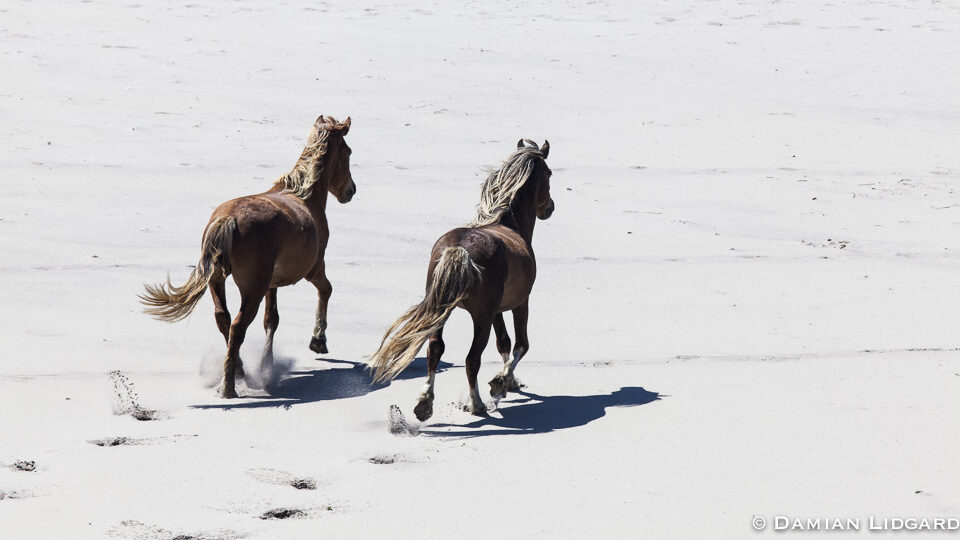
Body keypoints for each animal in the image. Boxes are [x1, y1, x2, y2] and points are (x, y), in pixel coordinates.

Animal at [141, 116, 354, 398]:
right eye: (348, 152)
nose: (351, 190)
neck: (303, 196)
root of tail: (227, 219)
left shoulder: (272, 284)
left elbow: (271, 320)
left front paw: (266, 365)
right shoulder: (314, 269)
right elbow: (326, 290)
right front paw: (318, 341)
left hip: (218, 280)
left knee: (223, 318)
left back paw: (240, 371)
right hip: (252, 289)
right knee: (238, 326)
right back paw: (228, 386)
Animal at [370, 138, 556, 418]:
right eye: (549, 173)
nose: (550, 208)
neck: (509, 224)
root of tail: (459, 248)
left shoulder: (496, 310)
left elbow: (503, 343)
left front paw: (509, 381)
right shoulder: (520, 303)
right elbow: (520, 344)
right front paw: (501, 382)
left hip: (442, 310)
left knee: (435, 348)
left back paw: (425, 402)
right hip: (480, 318)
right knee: (472, 358)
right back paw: (476, 404)